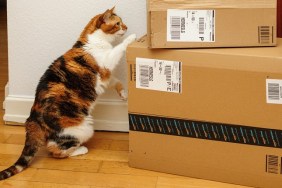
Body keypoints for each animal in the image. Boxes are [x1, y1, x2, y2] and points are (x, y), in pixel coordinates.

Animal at [0, 7, 137, 180]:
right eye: (118, 23)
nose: (126, 27)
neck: (94, 41)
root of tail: (33, 117)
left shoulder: (106, 77)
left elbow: (116, 81)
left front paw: (123, 94)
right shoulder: (106, 63)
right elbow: (117, 50)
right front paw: (132, 38)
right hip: (83, 128)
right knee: (55, 150)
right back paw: (81, 150)